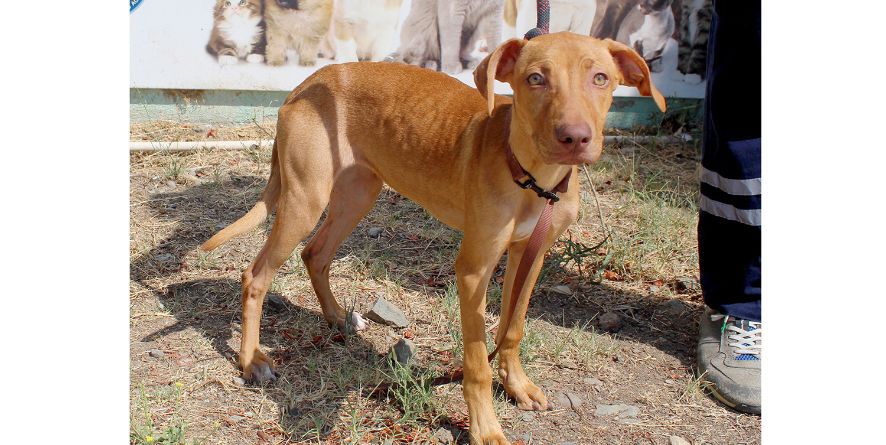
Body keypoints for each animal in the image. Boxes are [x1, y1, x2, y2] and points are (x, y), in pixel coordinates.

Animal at [203, 32, 664, 444]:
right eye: (535, 78)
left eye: (600, 78)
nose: (574, 138)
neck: (534, 178)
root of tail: (303, 85)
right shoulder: (474, 269)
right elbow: (477, 361)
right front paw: (485, 428)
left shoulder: (530, 255)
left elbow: (512, 329)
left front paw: (516, 385)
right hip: (305, 200)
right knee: (256, 275)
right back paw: (252, 360)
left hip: (357, 193)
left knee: (315, 253)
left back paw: (337, 317)